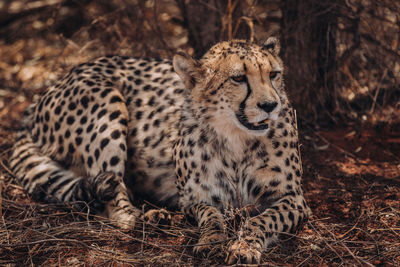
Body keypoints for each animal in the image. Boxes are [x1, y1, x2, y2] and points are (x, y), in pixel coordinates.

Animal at [7, 37, 310, 264]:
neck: (236, 139)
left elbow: (264, 219)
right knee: (111, 201)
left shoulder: (293, 198)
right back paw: (146, 218)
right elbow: (212, 217)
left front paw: (244, 246)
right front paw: (212, 240)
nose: (271, 105)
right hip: (107, 100)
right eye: (238, 78)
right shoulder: (194, 199)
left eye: (274, 74)